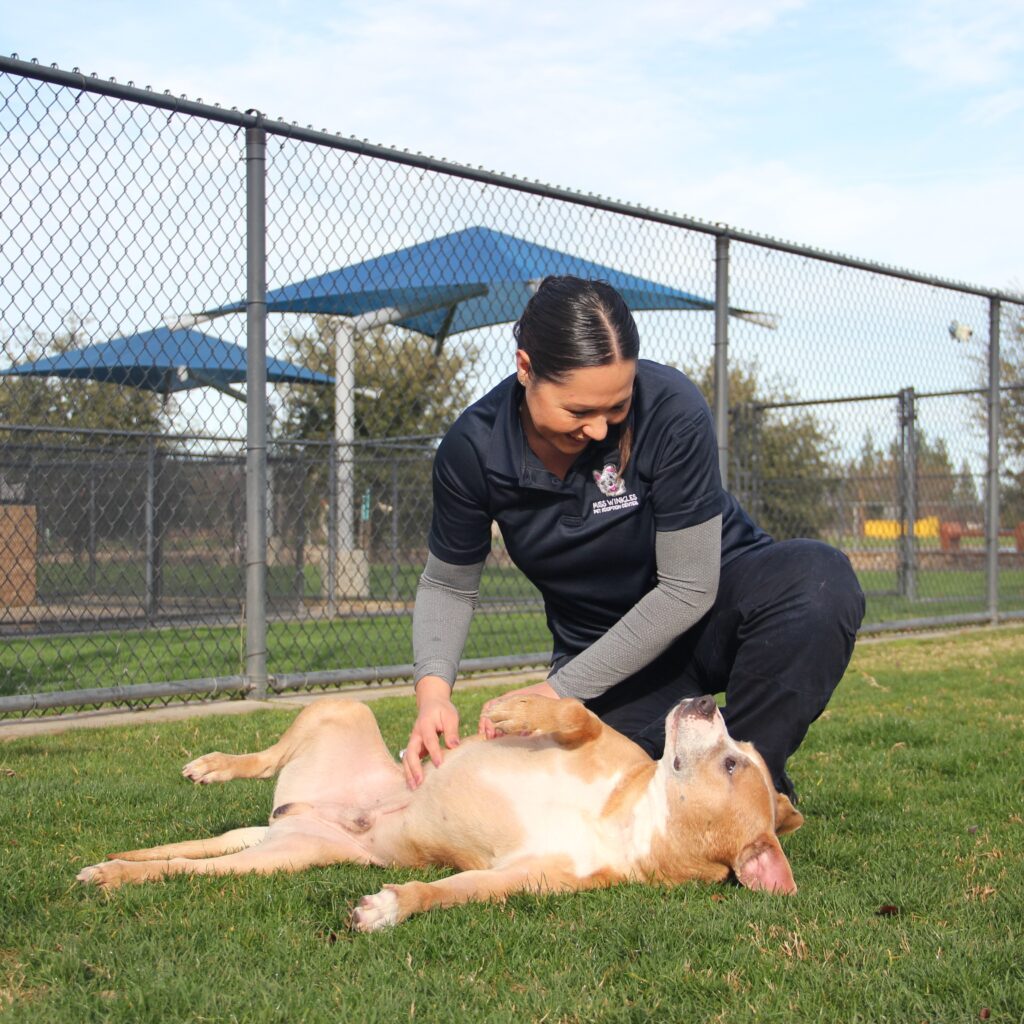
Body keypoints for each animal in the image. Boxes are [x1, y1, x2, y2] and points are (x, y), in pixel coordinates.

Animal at [75, 692, 802, 933]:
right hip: (342, 709)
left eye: (733, 764)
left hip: (280, 858)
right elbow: (574, 713)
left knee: (190, 866)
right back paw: (216, 765)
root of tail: (298, 814)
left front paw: (390, 907)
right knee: (265, 754)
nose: (707, 701)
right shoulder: (605, 746)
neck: (624, 819)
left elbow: (448, 890)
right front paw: (517, 708)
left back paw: (118, 872)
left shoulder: (520, 879)